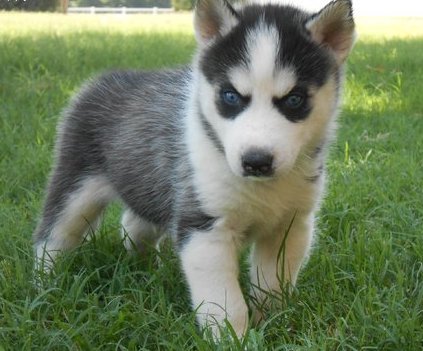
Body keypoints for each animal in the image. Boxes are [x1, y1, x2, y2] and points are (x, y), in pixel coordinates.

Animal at [34, 0, 358, 338]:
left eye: (294, 100)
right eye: (230, 96)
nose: (256, 161)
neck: (260, 190)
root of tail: (104, 79)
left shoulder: (291, 226)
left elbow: (273, 284)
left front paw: (274, 323)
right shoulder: (204, 227)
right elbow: (225, 302)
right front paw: (233, 338)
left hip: (151, 189)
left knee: (133, 224)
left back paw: (144, 267)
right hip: (75, 185)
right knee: (53, 234)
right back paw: (47, 285)